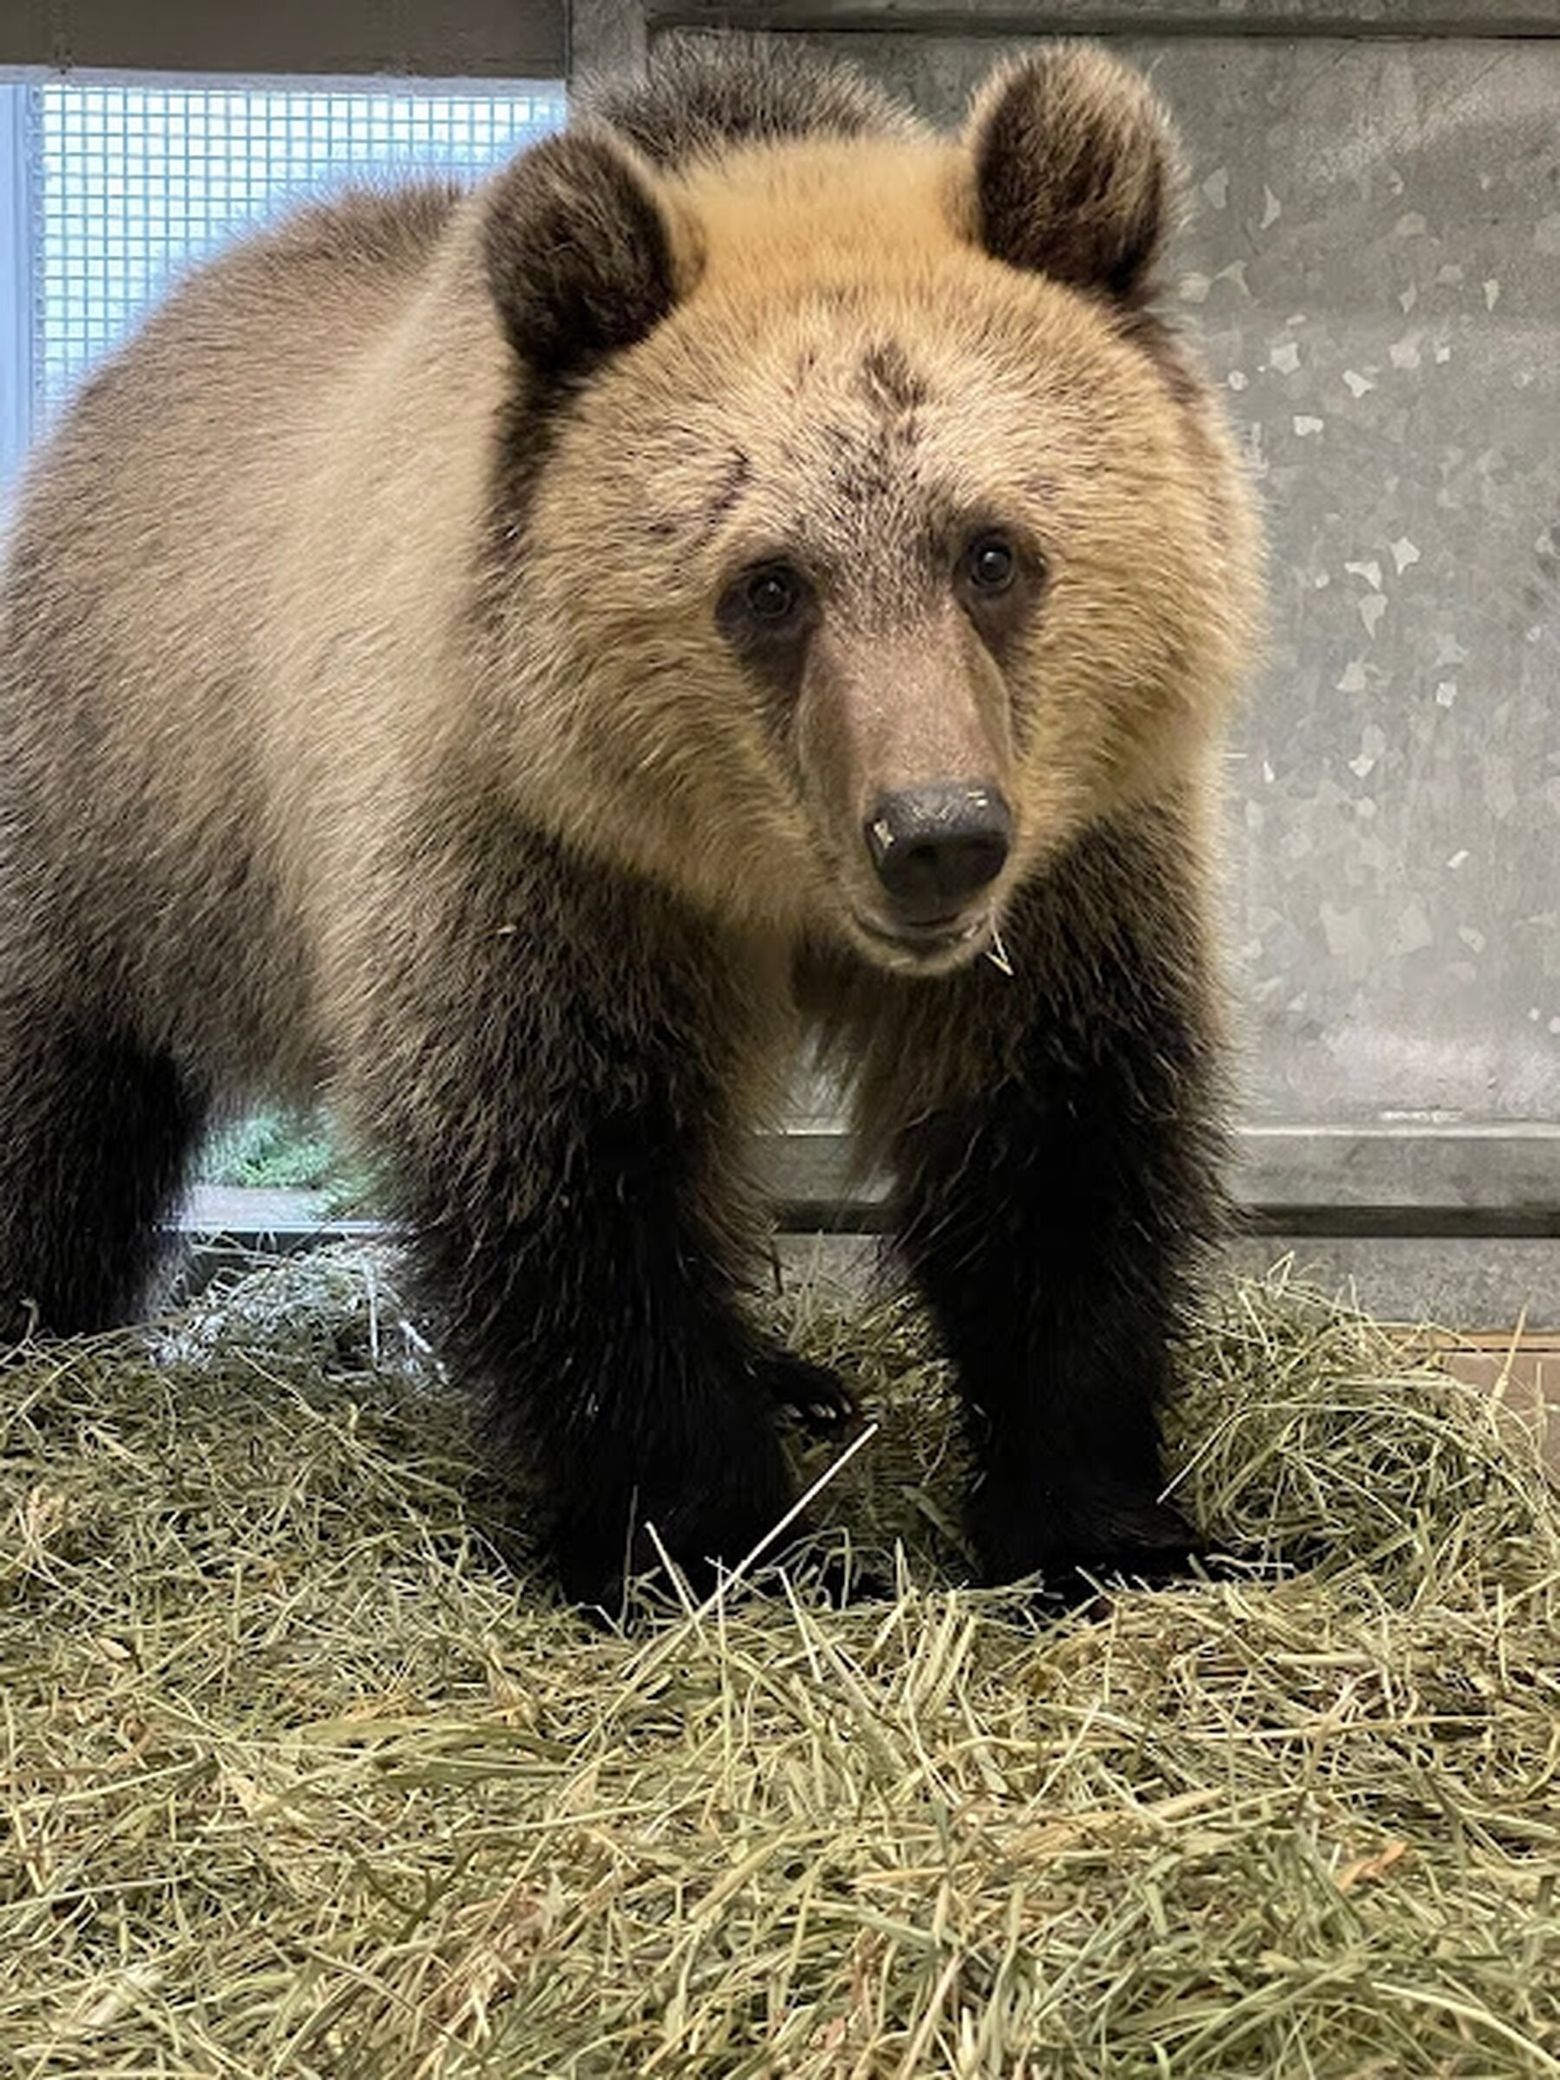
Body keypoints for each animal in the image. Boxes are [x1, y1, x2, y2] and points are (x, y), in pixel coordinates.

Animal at [0, 44, 1256, 1605]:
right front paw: (722, 1536)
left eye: (993, 552)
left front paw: (1110, 1526)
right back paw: (42, 1320)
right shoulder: (534, 855)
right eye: (768, 584)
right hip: (119, 799)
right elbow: (576, 1172)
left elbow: (1059, 1142)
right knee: (62, 1082)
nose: (936, 835)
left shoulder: (1077, 867)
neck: (759, 883)